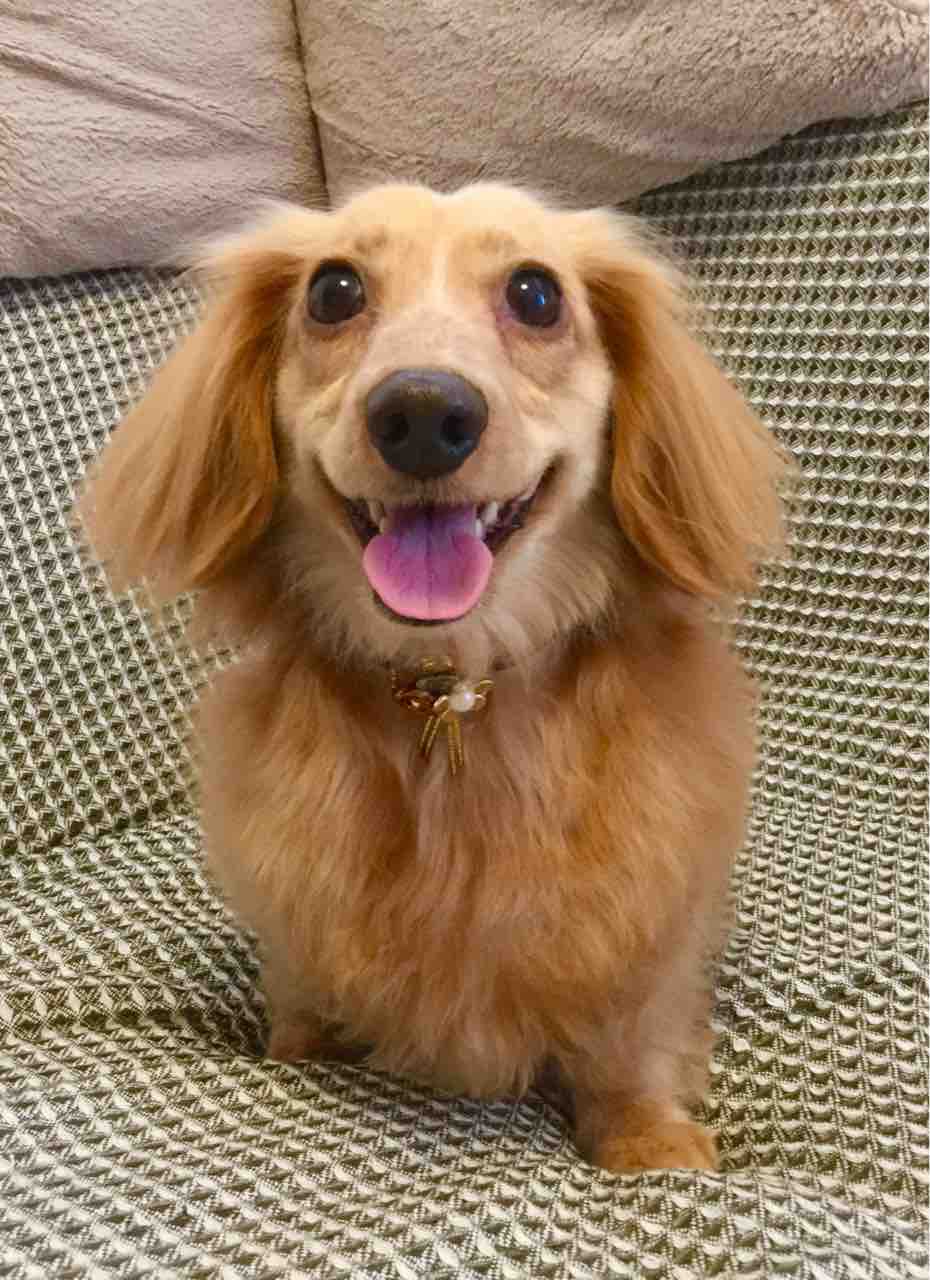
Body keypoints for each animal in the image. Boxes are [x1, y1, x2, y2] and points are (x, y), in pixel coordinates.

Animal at [79, 183, 786, 1172]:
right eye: (333, 290)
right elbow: (306, 1013)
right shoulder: (301, 930)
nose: (420, 412)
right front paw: (295, 1058)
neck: (450, 692)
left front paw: (648, 1142)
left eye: (537, 295)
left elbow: (629, 1035)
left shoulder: (642, 926)